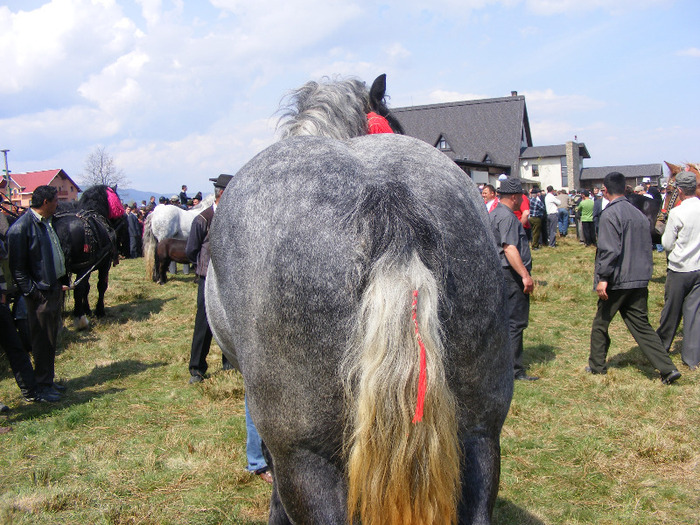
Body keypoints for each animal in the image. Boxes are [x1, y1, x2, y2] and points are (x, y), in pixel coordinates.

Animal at [54, 183, 129, 324]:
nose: (124, 218)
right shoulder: (103, 266)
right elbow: (101, 286)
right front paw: (99, 310)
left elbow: (87, 288)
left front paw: (88, 309)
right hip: (84, 266)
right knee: (77, 289)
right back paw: (80, 318)